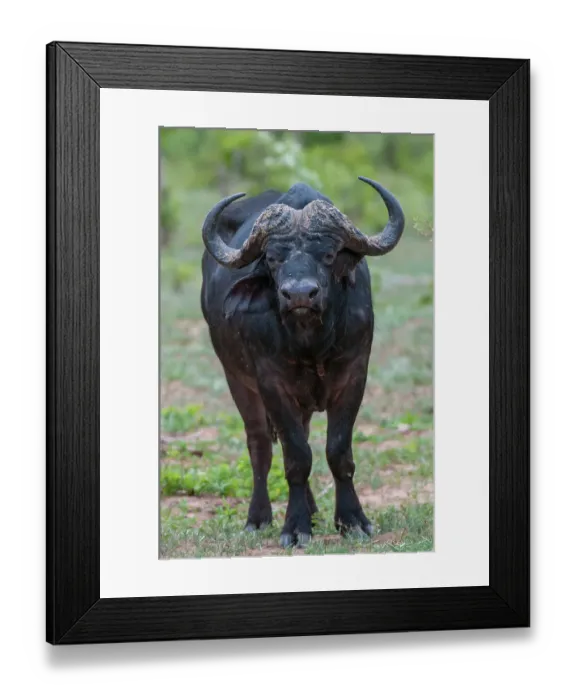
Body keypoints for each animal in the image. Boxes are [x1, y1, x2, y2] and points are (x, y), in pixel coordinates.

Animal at [200, 177, 405, 547]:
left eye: (328, 255)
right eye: (272, 258)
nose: (298, 295)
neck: (312, 344)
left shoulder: (354, 376)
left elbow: (337, 452)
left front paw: (352, 520)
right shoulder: (271, 385)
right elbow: (295, 456)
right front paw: (294, 527)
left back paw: (312, 510)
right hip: (236, 379)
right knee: (260, 446)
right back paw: (259, 517)